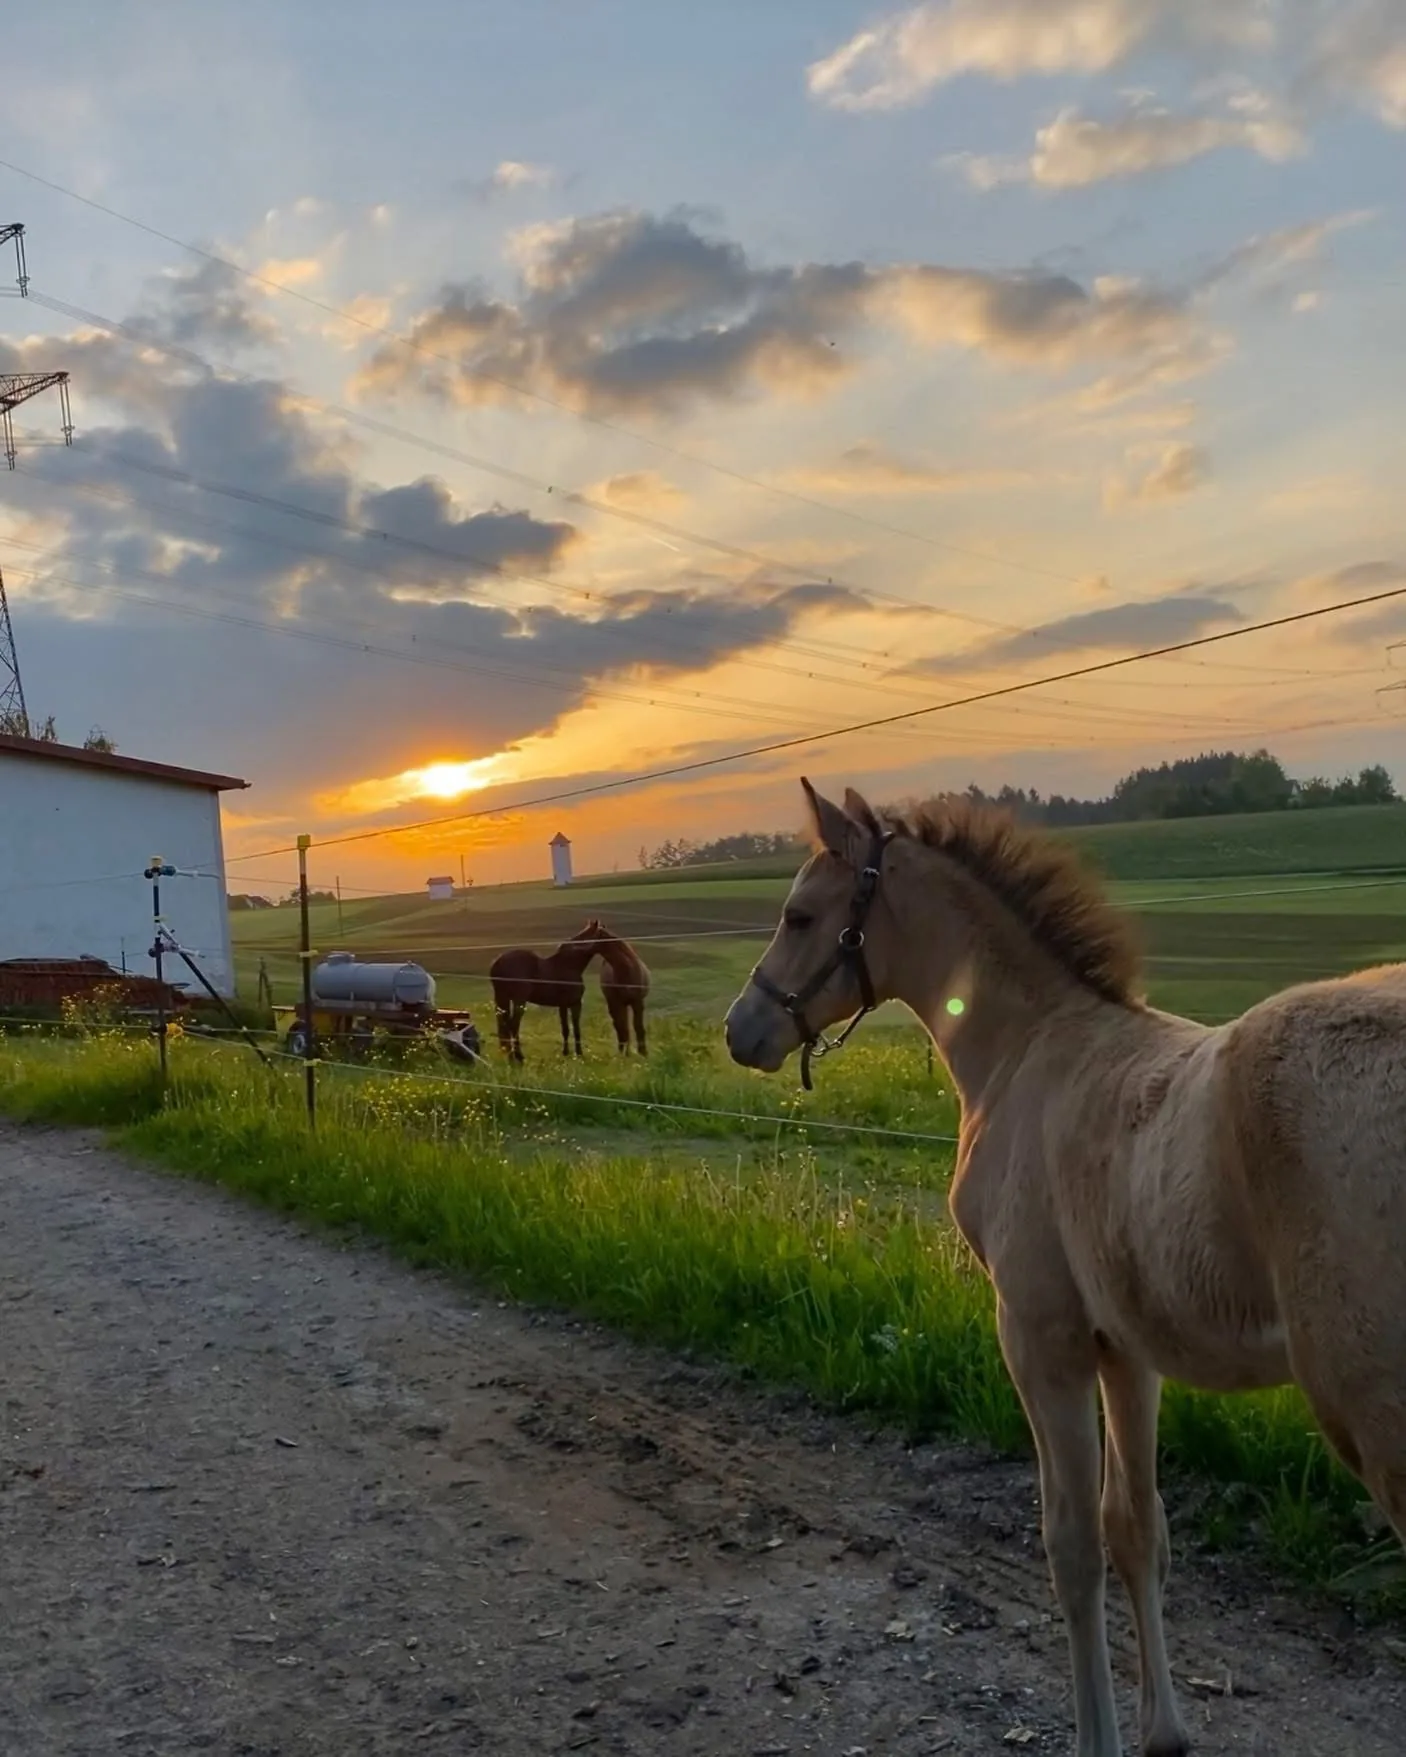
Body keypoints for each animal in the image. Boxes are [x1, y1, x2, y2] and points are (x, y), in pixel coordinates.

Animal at [488, 922, 604, 1061]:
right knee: (513, 1024)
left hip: (503, 998)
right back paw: (518, 1056)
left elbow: (565, 1029)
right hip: (519, 1000)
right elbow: (576, 1029)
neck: (569, 965)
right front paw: (579, 1054)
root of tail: (498, 962)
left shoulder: (563, 1005)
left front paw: (566, 1053)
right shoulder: (575, 1004)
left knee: (505, 1024)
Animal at [593, 921, 650, 1056]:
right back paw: (623, 1051)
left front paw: (643, 1053)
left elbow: (638, 1027)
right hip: (615, 1005)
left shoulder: (637, 1002)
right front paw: (625, 1054)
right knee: (620, 1027)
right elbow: (623, 1028)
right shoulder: (617, 1003)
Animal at [725, 777, 1406, 1757]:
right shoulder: (1126, 1346)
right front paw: (1164, 1732)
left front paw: (1100, 1737)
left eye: (800, 914)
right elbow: (1137, 1528)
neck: (1024, 1050)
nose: (741, 1030)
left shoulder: (1039, 1338)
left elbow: (1072, 1541)